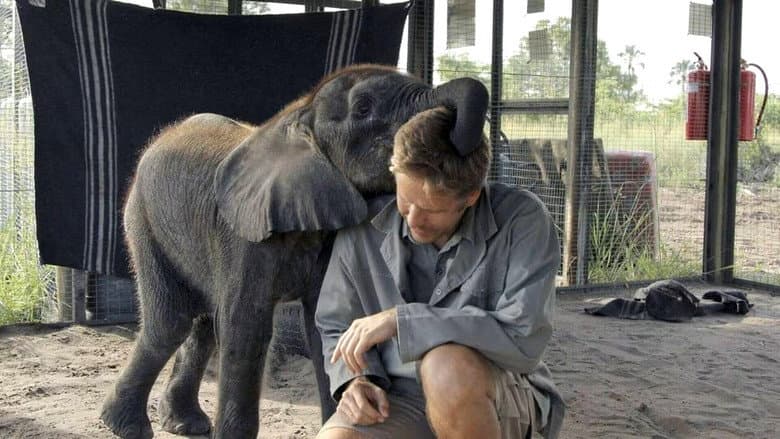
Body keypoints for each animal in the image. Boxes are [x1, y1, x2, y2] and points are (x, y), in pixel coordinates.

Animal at [99, 64, 489, 439]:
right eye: (363, 109)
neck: (302, 116)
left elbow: (324, 322)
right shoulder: (244, 236)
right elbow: (246, 327)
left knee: (202, 326)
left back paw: (184, 425)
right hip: (142, 218)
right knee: (171, 322)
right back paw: (126, 427)